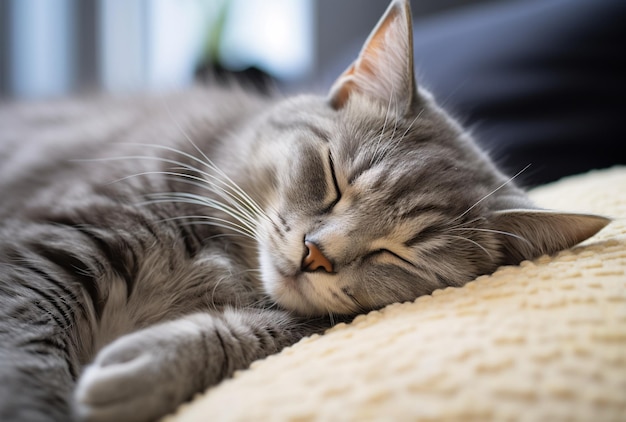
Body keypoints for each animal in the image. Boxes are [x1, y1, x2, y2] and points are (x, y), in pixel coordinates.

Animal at [0, 0, 604, 422]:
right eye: (334, 177)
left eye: (400, 254)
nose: (317, 254)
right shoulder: (55, 244)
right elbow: (24, 340)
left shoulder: (306, 322)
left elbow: (256, 335)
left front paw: (152, 368)